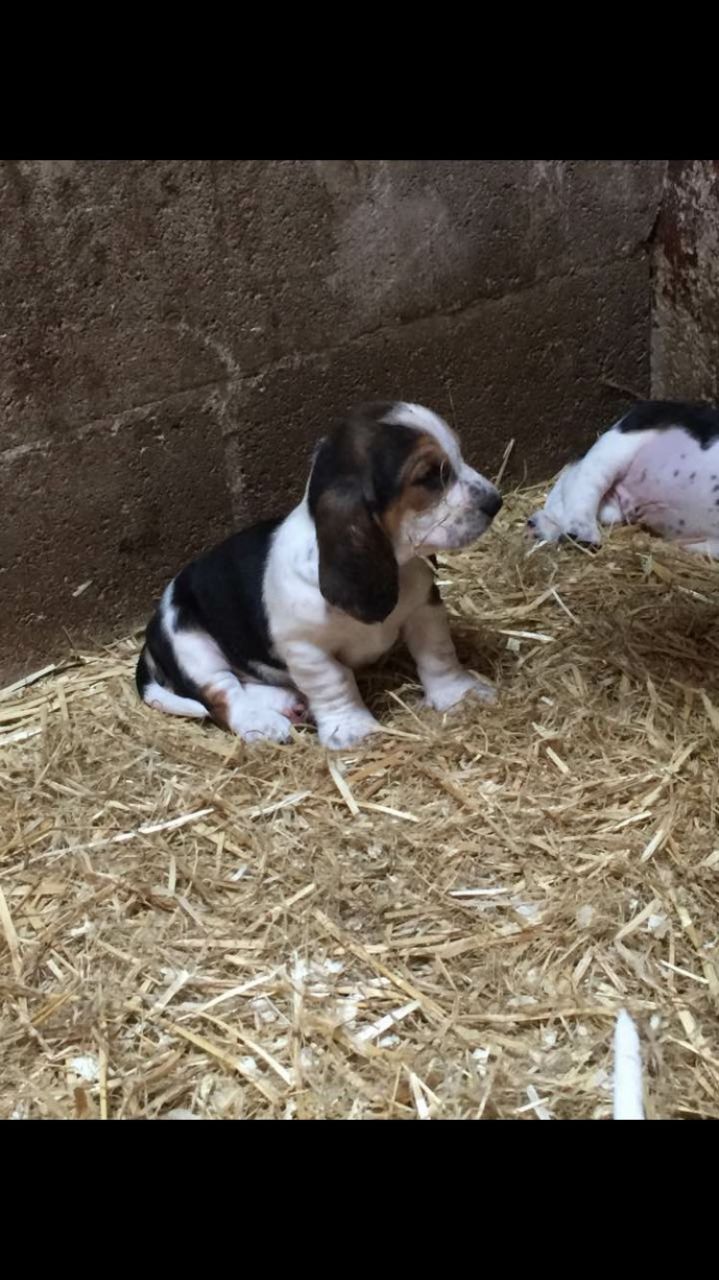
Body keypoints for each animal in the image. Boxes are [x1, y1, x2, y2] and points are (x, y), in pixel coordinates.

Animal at [136, 401, 501, 747]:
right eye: (428, 476)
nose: (495, 502)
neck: (396, 561)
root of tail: (151, 632)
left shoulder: (424, 610)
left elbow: (438, 654)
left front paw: (461, 695)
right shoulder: (308, 650)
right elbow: (336, 683)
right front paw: (353, 731)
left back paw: (286, 703)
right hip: (189, 642)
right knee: (222, 694)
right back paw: (264, 723)